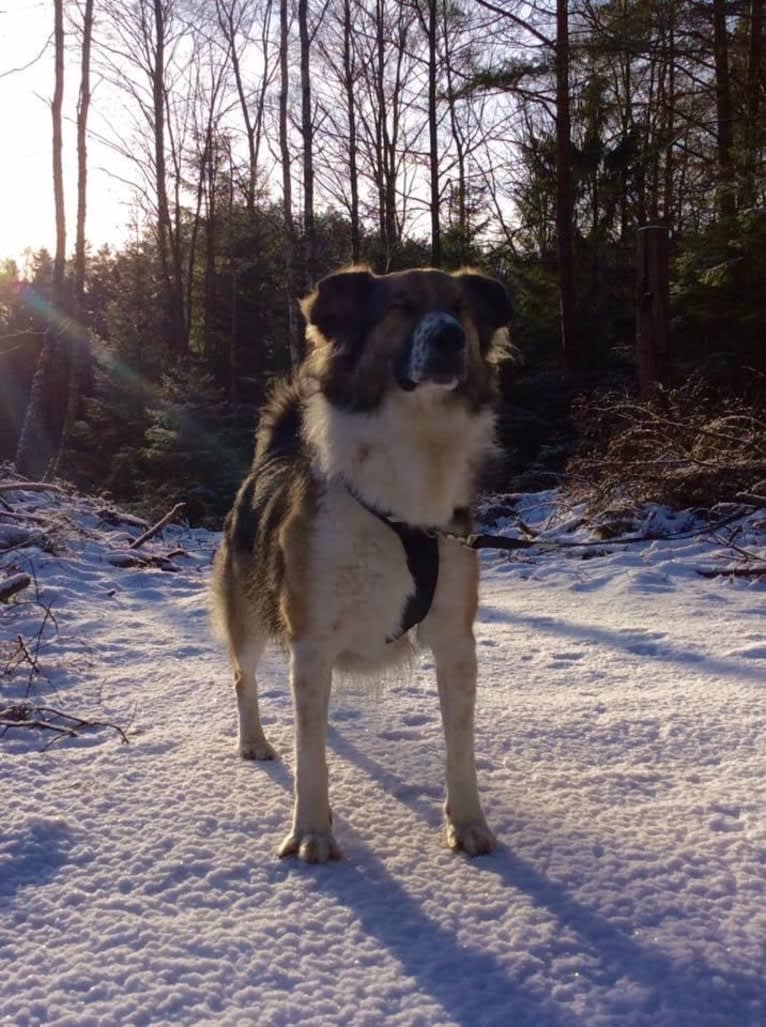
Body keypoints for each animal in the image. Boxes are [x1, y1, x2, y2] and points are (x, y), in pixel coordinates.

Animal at [208, 264, 509, 858]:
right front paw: (311, 832)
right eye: (400, 306)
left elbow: (458, 745)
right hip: (249, 615)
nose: (451, 339)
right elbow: (310, 758)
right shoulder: (313, 635)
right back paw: (254, 740)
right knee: (245, 679)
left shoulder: (455, 640)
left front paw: (467, 823)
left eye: (461, 307)